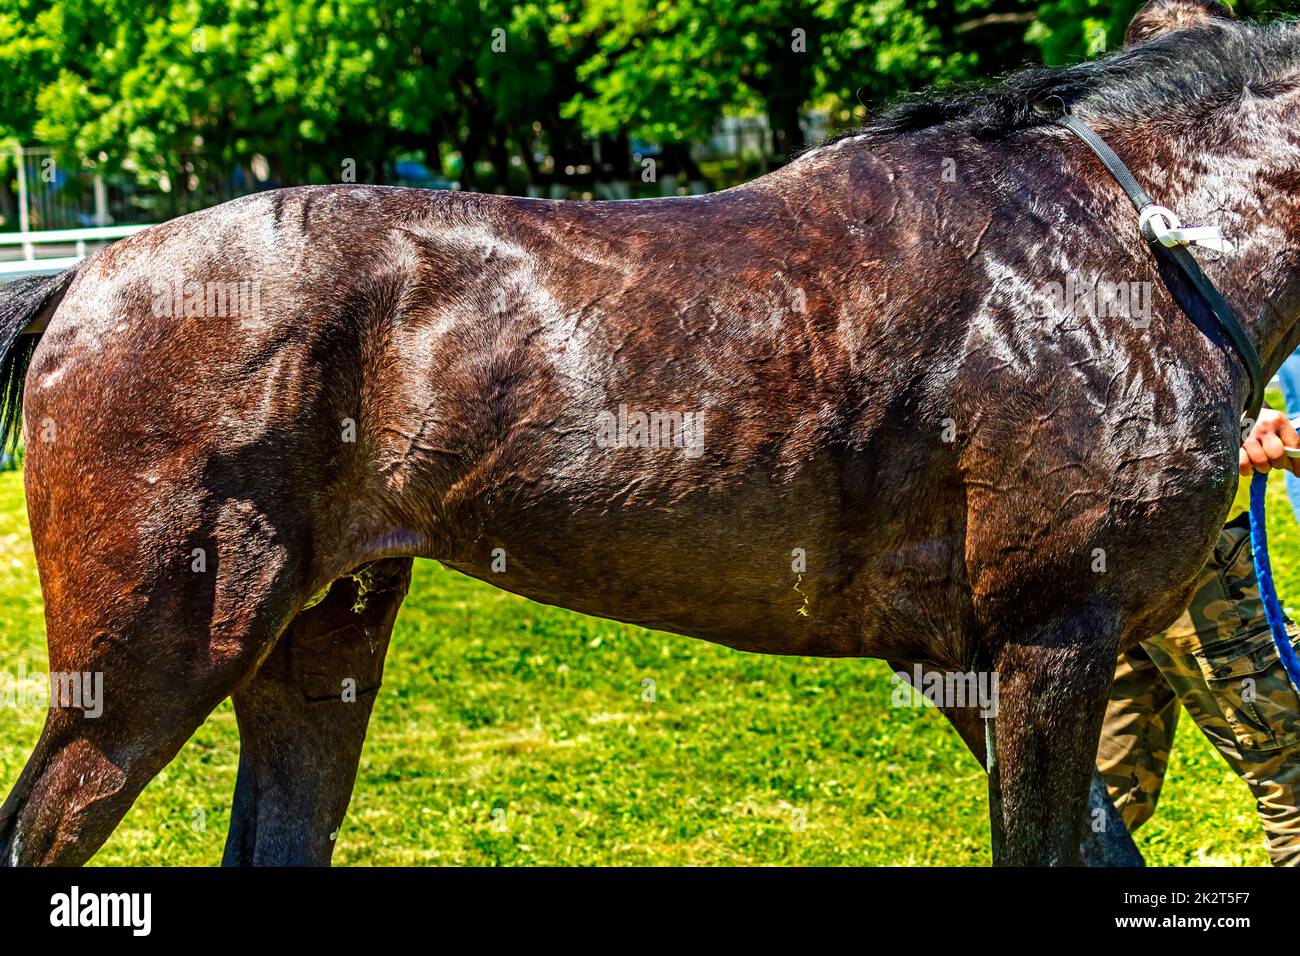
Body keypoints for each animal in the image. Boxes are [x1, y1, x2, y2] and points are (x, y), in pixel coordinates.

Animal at [2, 0, 1298, 867]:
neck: (1128, 244)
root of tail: (86, 275)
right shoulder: (1049, 630)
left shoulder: (972, 655)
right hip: (147, 663)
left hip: (317, 638)